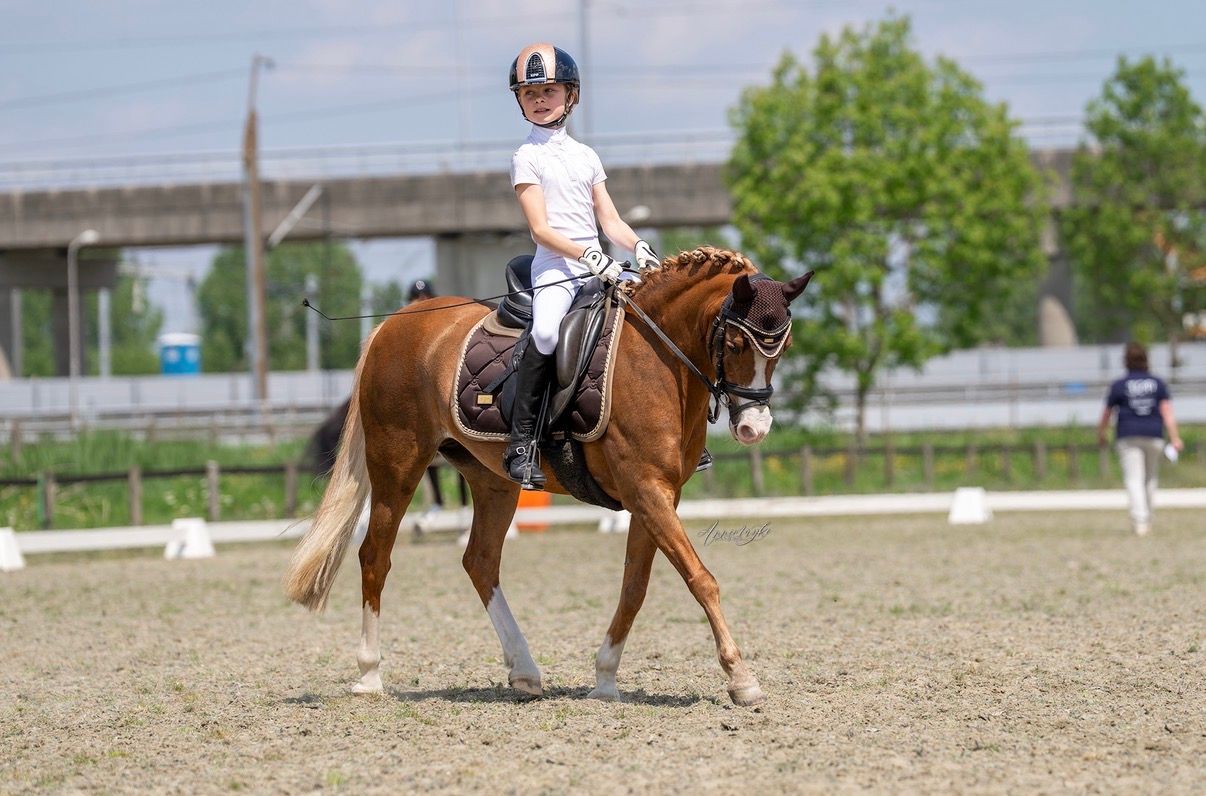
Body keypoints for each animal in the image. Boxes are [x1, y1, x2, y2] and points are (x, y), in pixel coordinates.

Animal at [284, 246, 813, 706]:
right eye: (736, 342)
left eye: (784, 346)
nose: (754, 427)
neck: (657, 358)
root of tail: (394, 323)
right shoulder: (646, 490)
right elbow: (701, 579)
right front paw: (741, 679)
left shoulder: (657, 495)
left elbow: (635, 587)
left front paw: (605, 679)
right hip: (397, 462)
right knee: (375, 556)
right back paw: (369, 675)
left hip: (491, 479)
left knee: (480, 561)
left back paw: (524, 672)